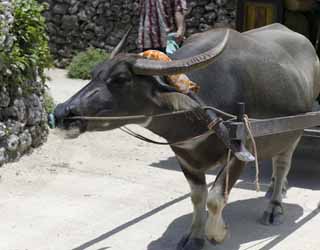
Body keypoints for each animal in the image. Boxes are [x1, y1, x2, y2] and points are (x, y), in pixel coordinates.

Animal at [53, 23, 320, 250]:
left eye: (121, 79)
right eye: (94, 74)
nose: (61, 113)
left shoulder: (240, 154)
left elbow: (215, 199)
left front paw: (218, 233)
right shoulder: (185, 157)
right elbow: (198, 197)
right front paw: (195, 236)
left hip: (294, 132)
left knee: (282, 163)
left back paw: (274, 206)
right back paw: (275, 188)